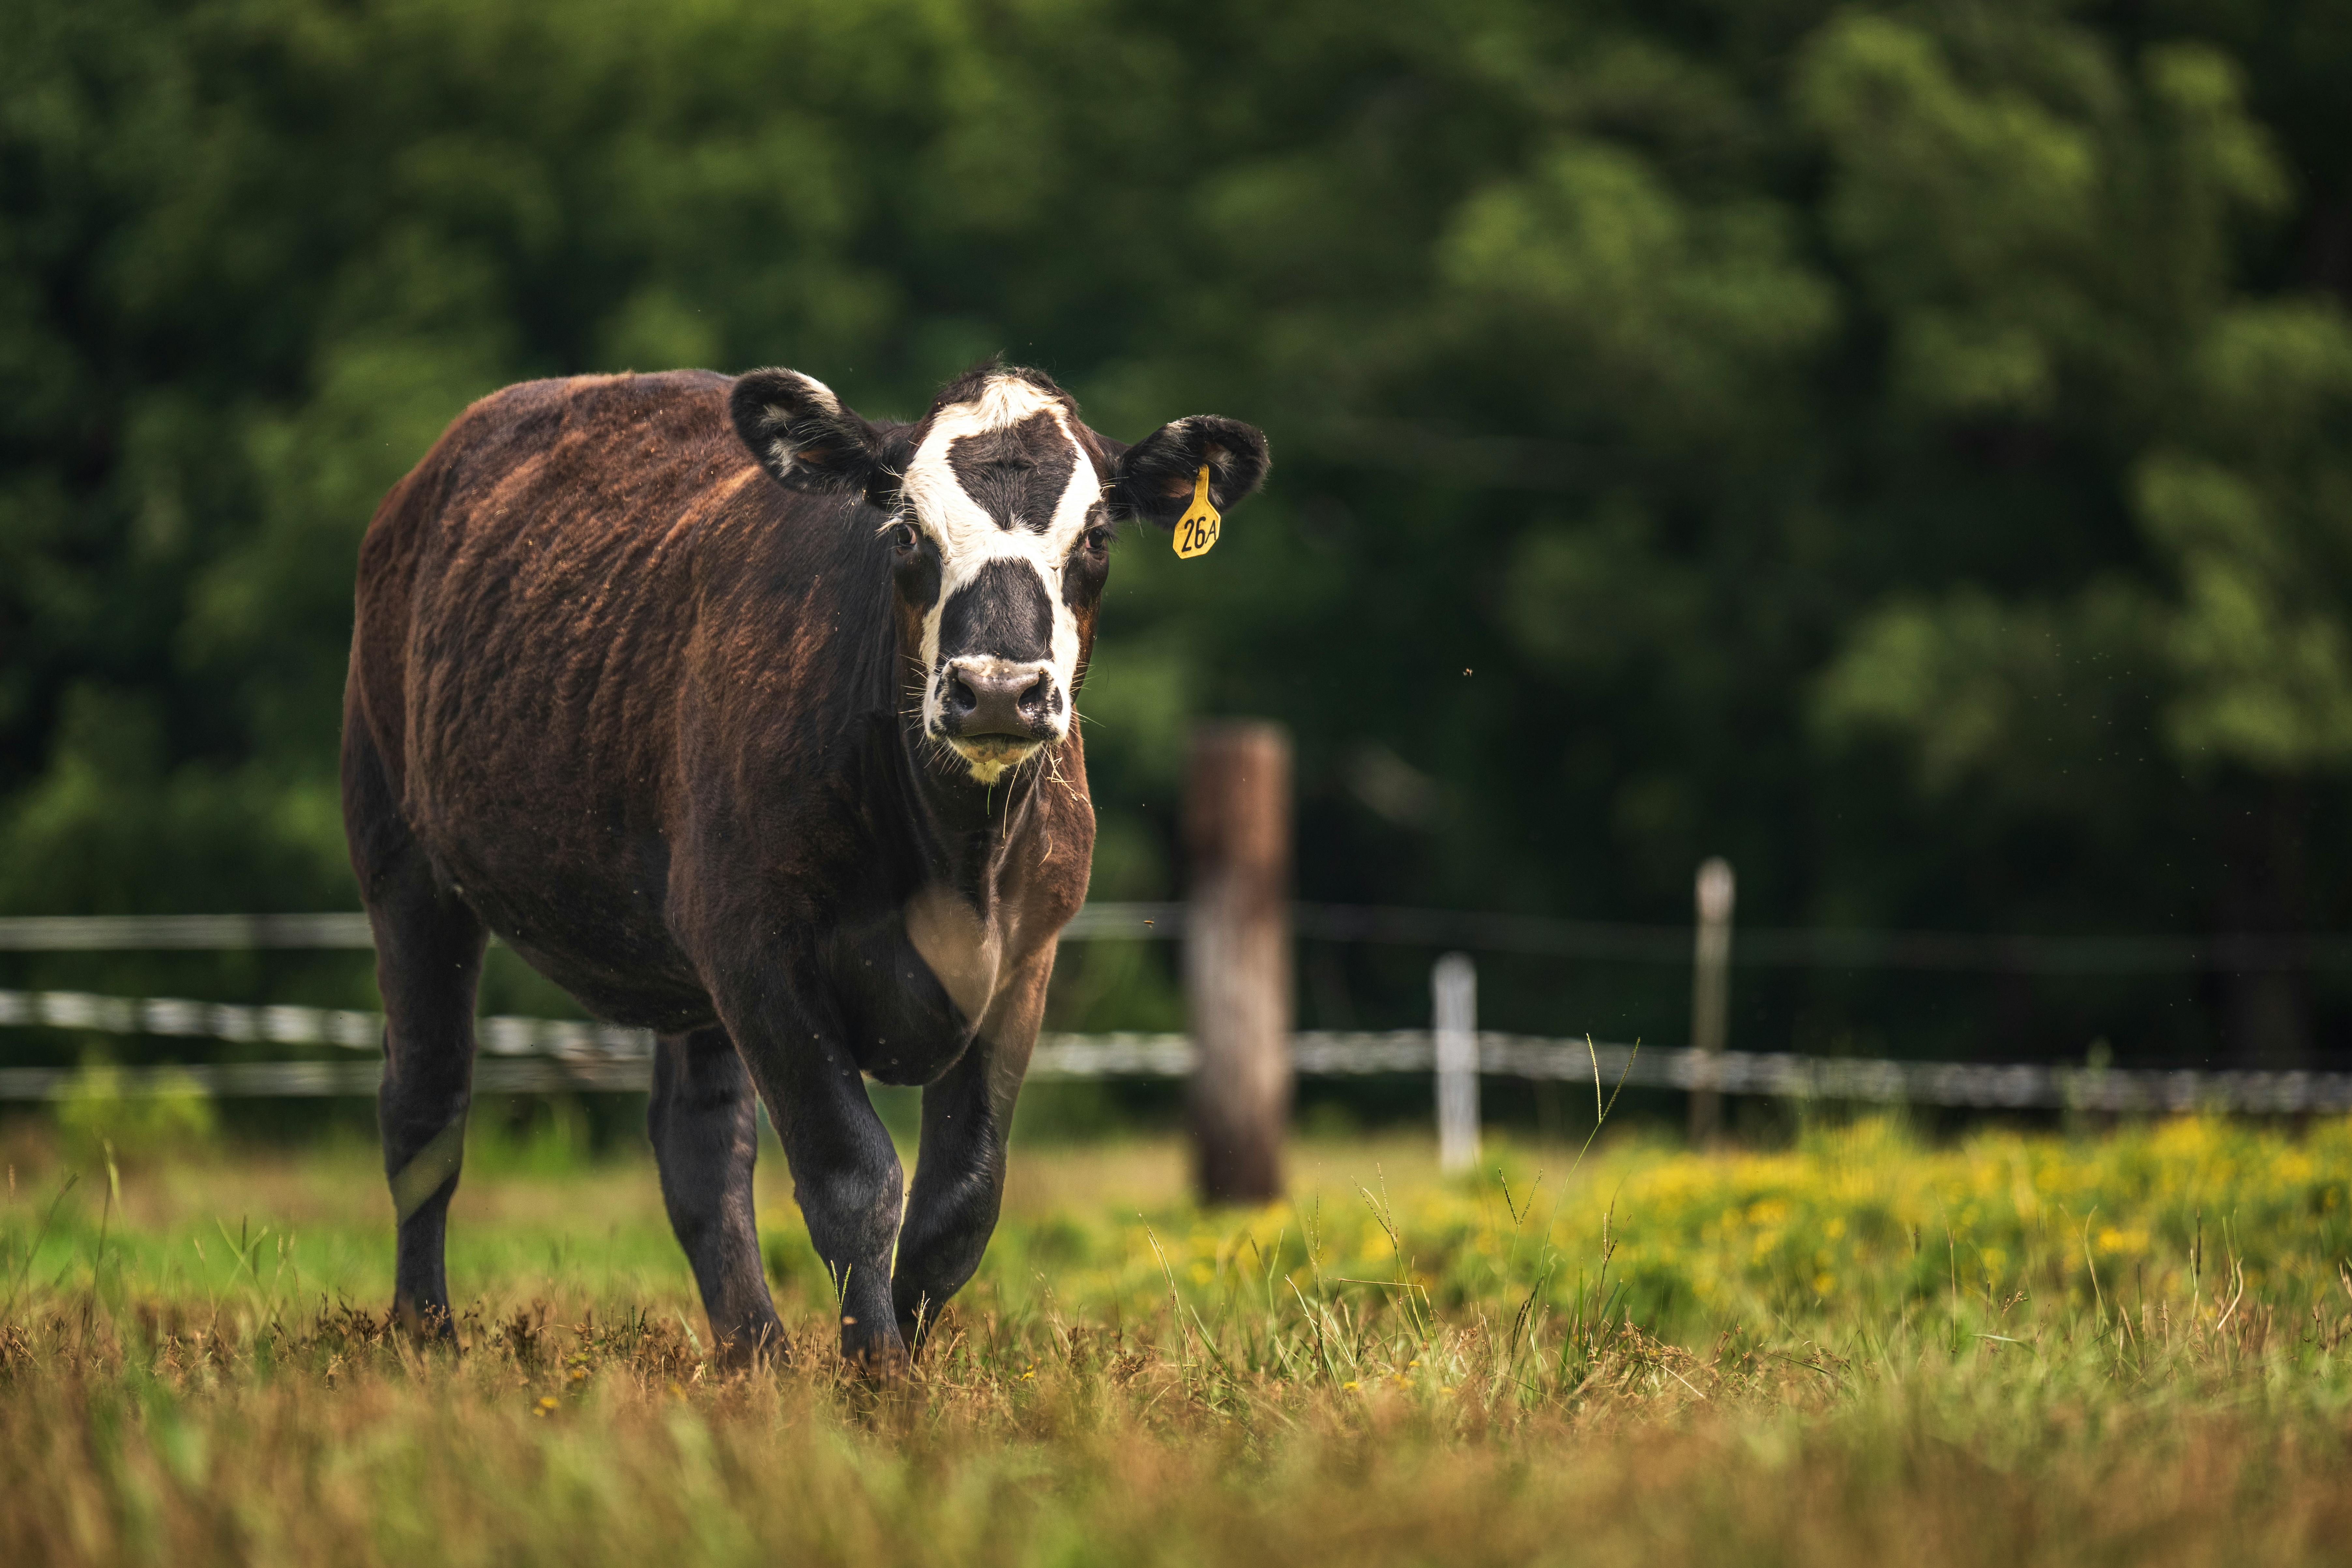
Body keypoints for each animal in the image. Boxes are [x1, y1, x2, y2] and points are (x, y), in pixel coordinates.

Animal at [341, 362, 1270, 1363]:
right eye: (906, 530)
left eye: (1095, 536)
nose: (997, 691)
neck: (955, 858)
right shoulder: (758, 948)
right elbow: (852, 1179)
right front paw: (878, 1371)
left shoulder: (1025, 960)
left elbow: (961, 1201)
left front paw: (900, 1349)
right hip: (402, 859)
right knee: (425, 1104)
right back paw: (428, 1334)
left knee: (698, 1147)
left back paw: (756, 1357)